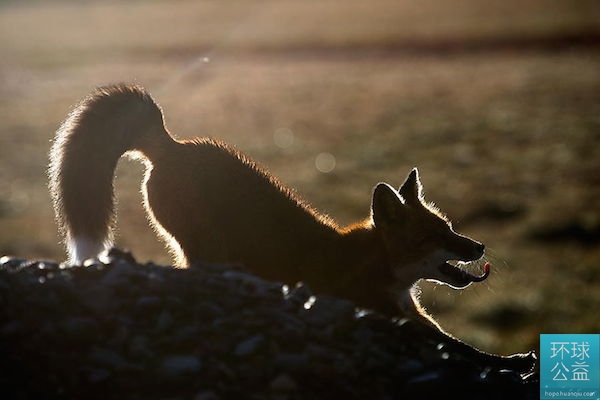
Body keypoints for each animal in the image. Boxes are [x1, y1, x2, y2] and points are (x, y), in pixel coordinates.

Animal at [47, 83, 536, 372]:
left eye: (450, 228)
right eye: (432, 237)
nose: (478, 246)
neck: (377, 267)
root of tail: (172, 144)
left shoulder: (413, 315)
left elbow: (466, 346)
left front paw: (512, 358)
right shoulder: (389, 315)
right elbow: (460, 350)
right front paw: (514, 364)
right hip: (204, 249)